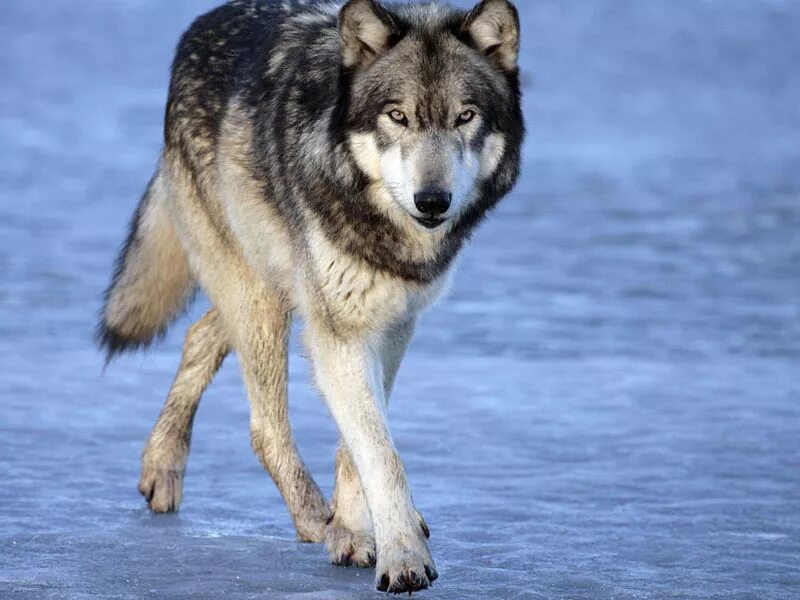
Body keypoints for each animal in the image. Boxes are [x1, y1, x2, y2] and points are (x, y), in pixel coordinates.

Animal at [98, 0, 524, 592]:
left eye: (466, 117)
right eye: (398, 116)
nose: (433, 201)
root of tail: (201, 23)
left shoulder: (390, 323)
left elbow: (361, 441)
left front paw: (355, 530)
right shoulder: (339, 328)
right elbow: (380, 452)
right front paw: (400, 557)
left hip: (272, 286)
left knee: (198, 333)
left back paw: (161, 469)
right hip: (259, 295)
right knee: (263, 425)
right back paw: (310, 518)